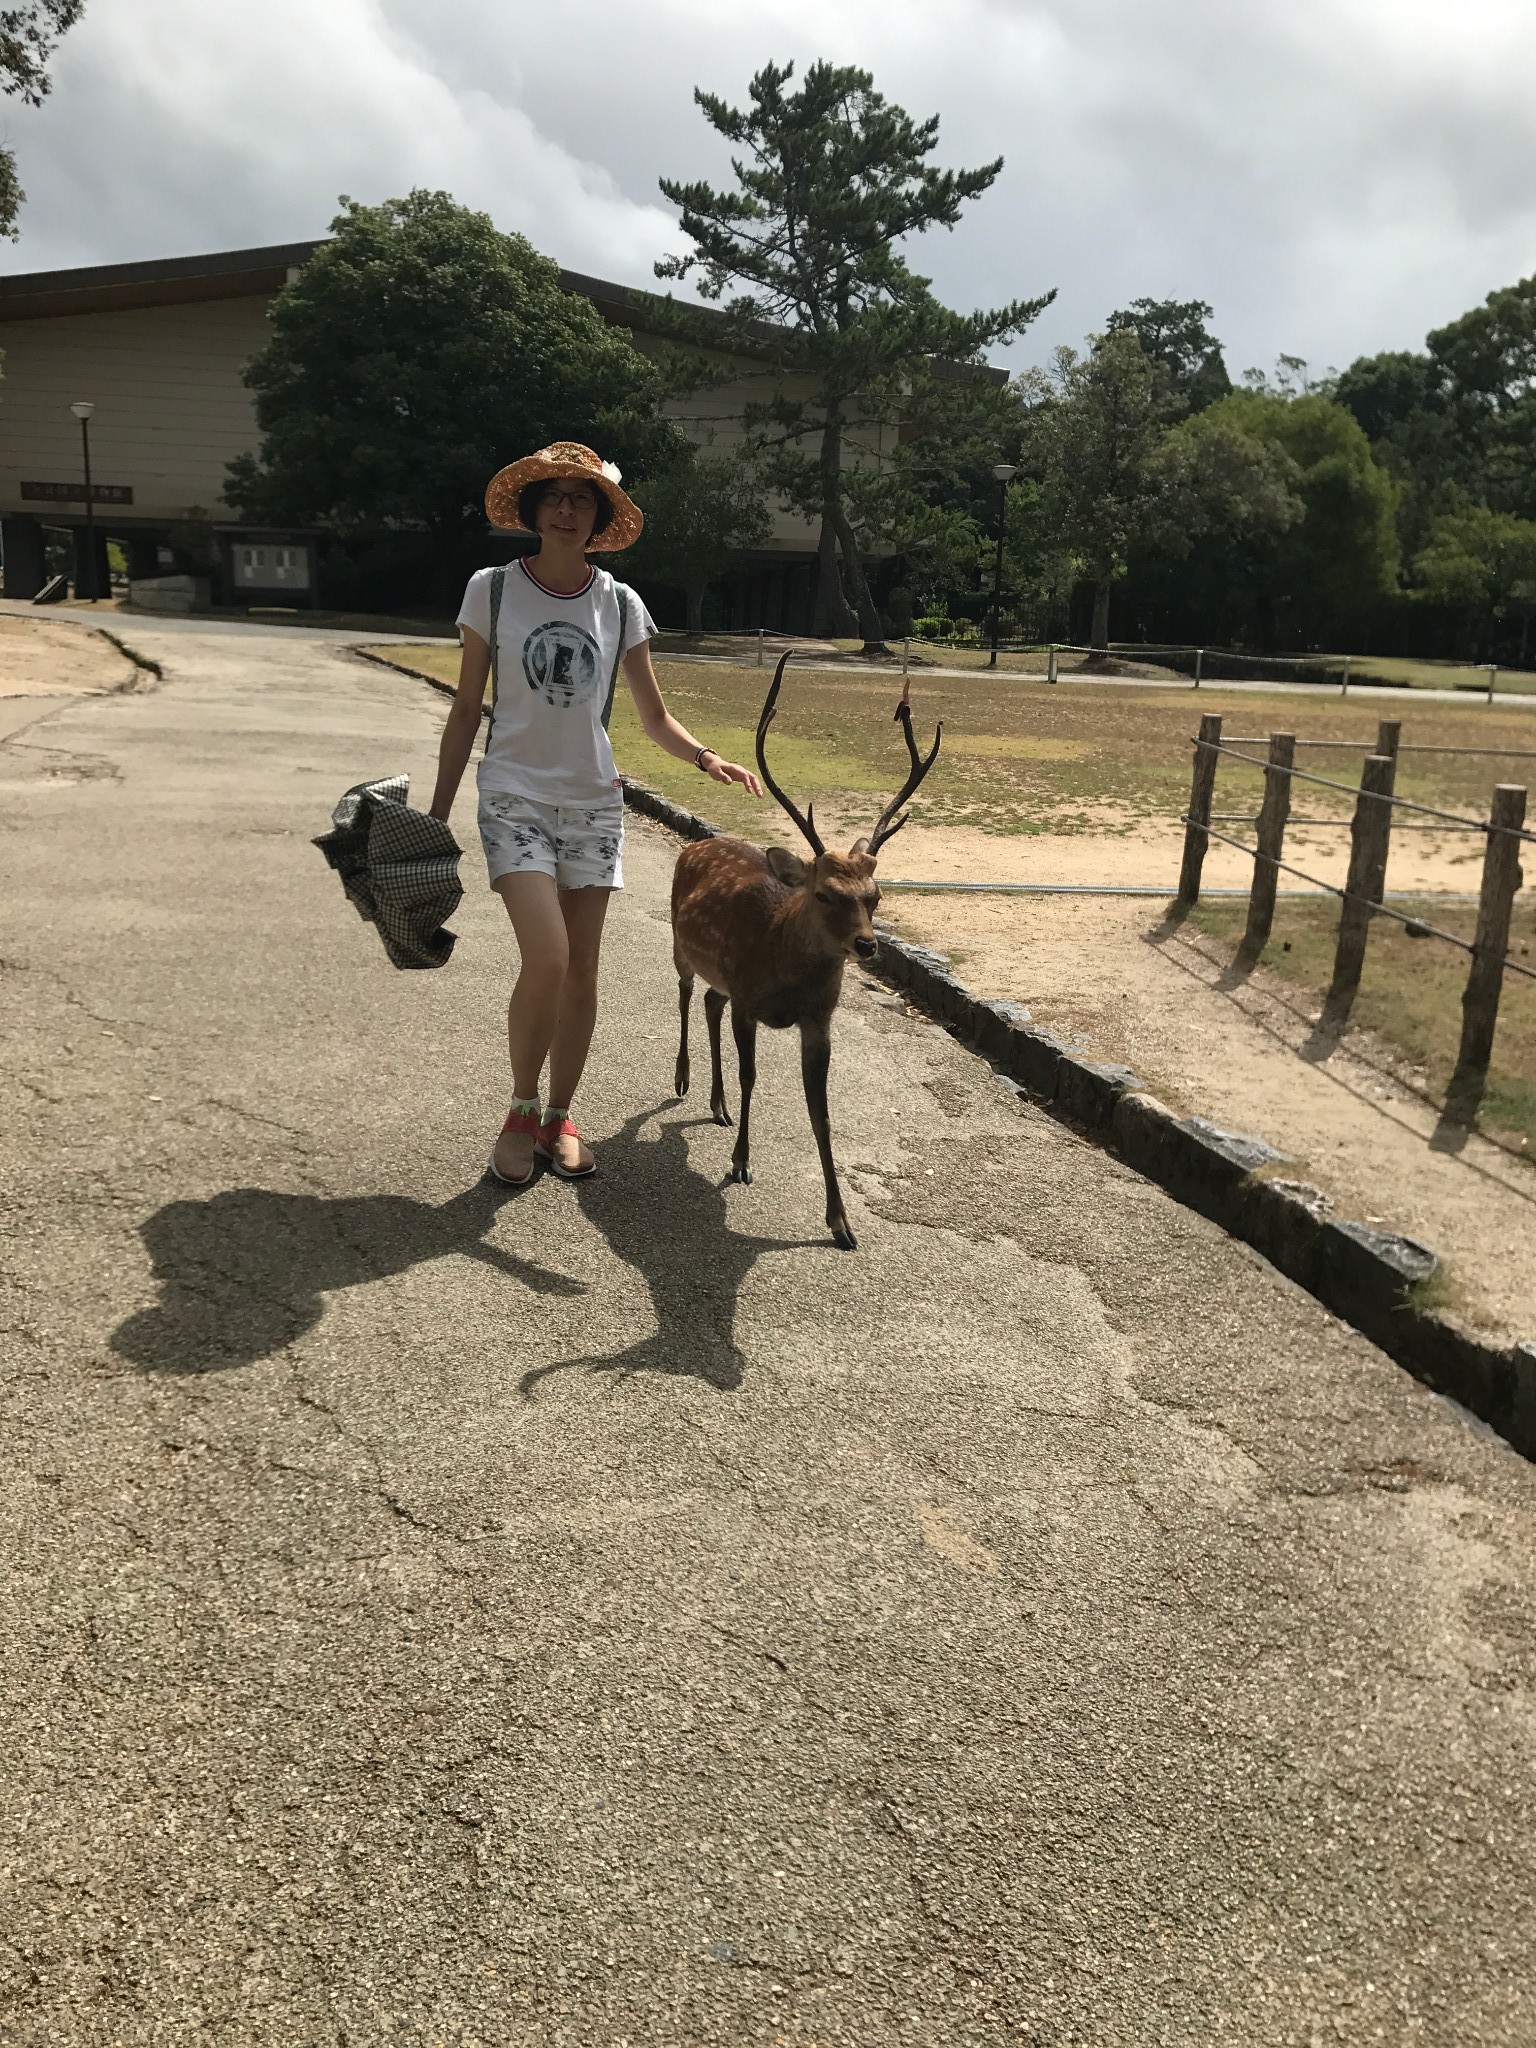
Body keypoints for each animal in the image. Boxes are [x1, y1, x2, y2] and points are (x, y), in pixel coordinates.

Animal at [675, 655, 946, 1245]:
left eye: (876, 895)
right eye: (823, 893)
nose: (867, 945)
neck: (784, 972)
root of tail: (696, 843)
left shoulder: (819, 1020)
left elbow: (820, 1109)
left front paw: (840, 1221)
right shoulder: (749, 1000)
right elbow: (752, 1076)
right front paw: (741, 1163)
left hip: (721, 975)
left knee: (709, 1000)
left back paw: (716, 1104)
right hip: (680, 945)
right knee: (685, 995)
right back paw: (682, 1080)